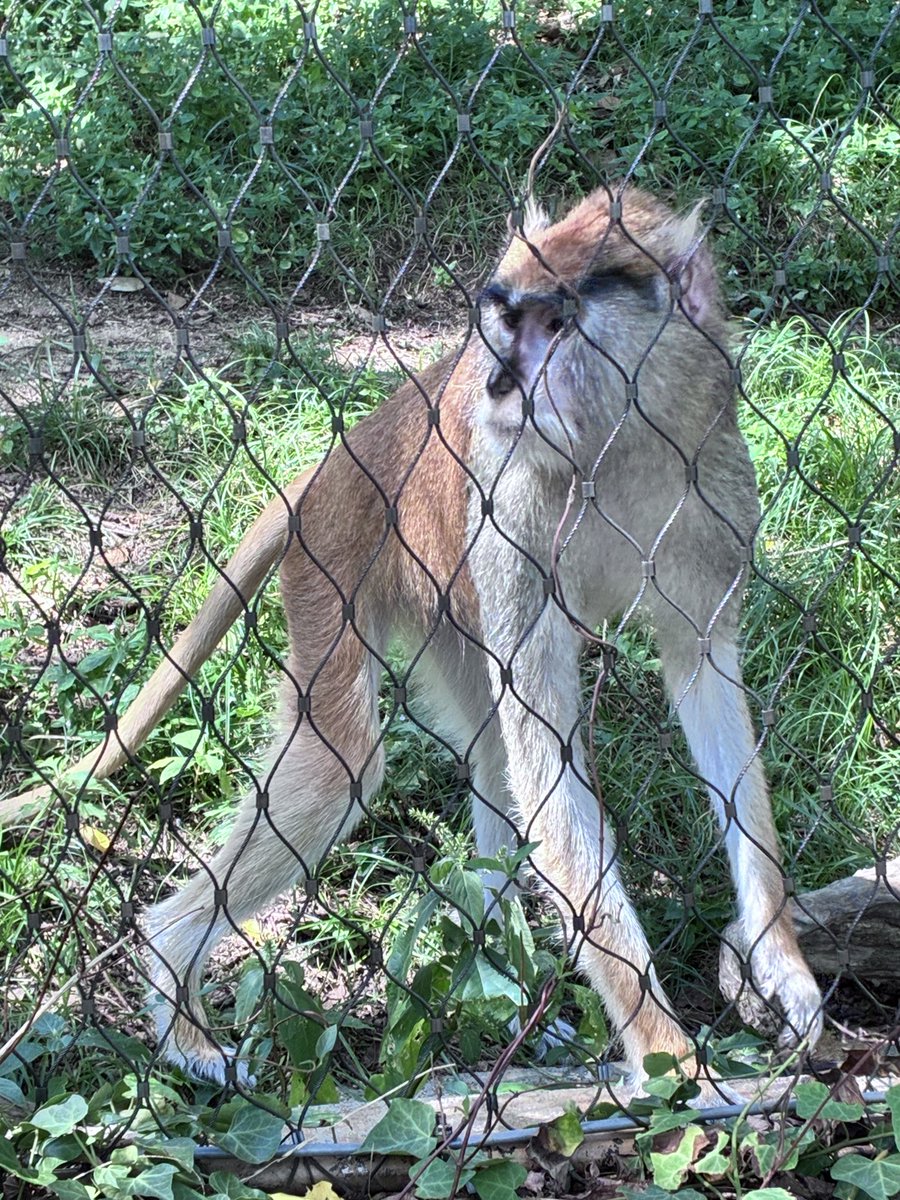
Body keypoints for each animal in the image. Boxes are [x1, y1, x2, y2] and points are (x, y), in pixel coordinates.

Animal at [2, 185, 823, 1101]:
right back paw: (177, 988)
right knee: (346, 770)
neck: (617, 444)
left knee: (488, 753)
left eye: (555, 325)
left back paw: (507, 992)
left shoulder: (712, 490)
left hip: (438, 608)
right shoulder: (514, 518)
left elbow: (705, 684)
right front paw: (668, 1055)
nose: (496, 382)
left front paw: (777, 957)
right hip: (334, 567)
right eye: (506, 321)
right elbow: (549, 763)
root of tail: (329, 467)